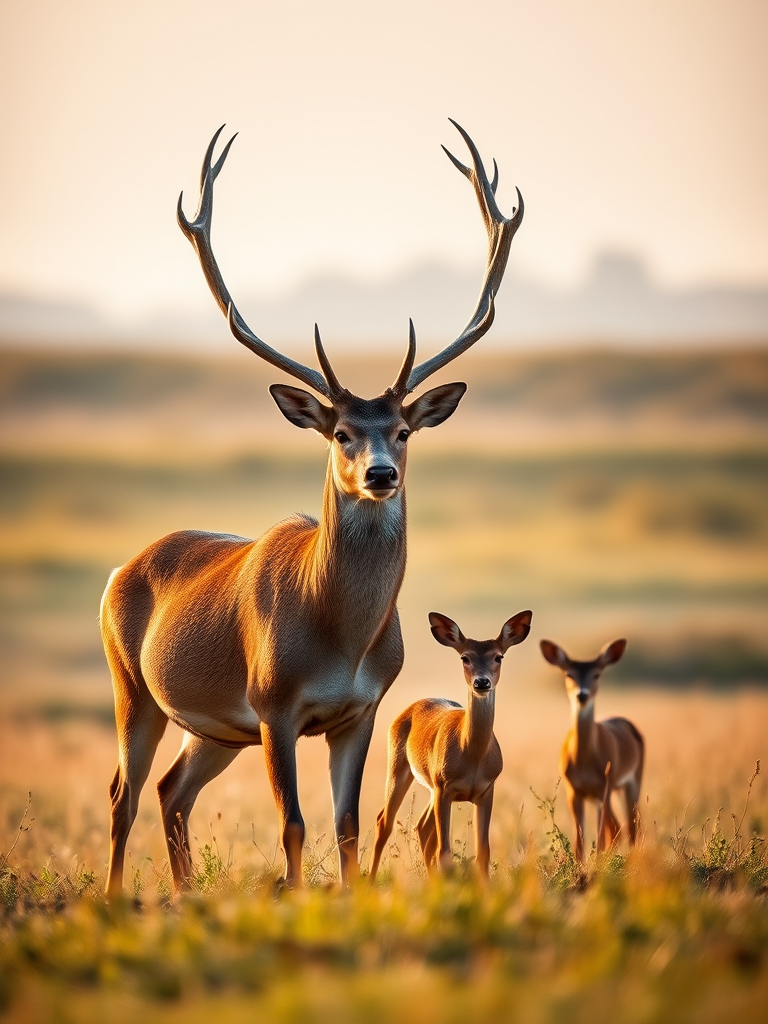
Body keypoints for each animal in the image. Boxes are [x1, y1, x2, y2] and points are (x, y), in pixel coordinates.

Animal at [369, 610, 532, 881]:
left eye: (498, 656)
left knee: (422, 826)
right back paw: (368, 880)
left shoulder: (486, 790)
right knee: (385, 821)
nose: (481, 682)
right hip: (401, 768)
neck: (472, 756)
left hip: (431, 787)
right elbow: (444, 852)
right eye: (465, 657)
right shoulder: (445, 787)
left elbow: (483, 852)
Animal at [539, 638, 644, 862]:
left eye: (597, 674)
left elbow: (600, 833)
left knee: (631, 826)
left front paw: (597, 863)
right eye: (569, 674)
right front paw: (581, 865)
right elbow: (579, 838)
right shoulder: (574, 789)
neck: (584, 763)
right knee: (619, 827)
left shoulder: (603, 786)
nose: (582, 695)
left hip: (631, 780)